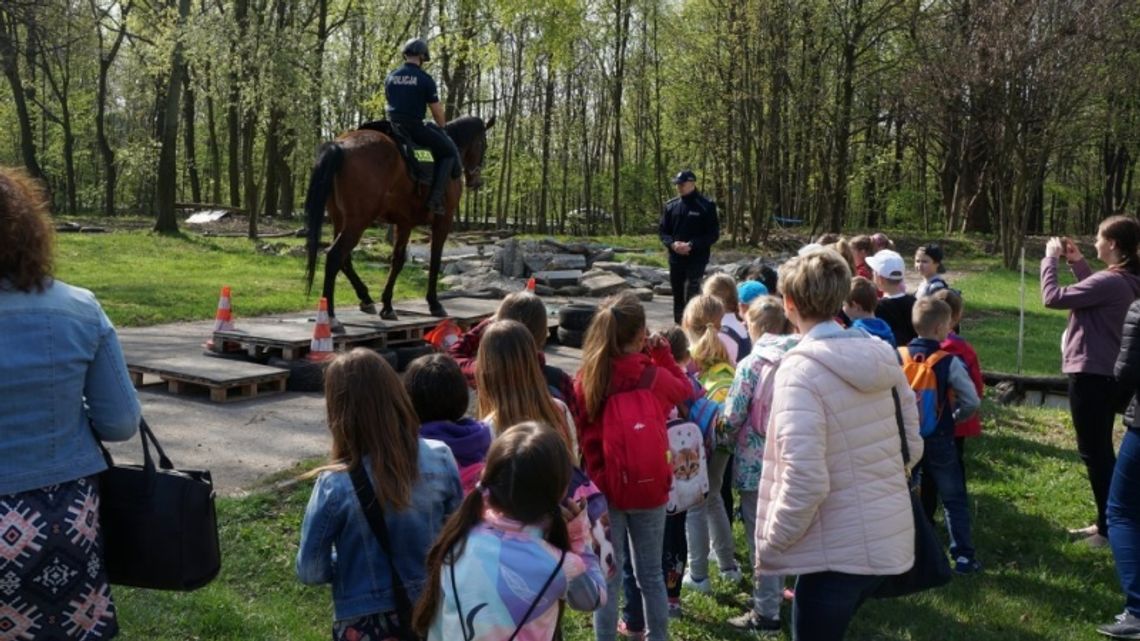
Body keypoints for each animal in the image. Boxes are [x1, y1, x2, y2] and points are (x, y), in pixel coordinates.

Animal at [303, 114, 494, 328]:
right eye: (484, 144)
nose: (476, 181)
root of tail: (341, 145)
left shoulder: (404, 223)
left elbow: (397, 260)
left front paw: (387, 305)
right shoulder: (443, 221)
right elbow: (435, 259)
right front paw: (434, 302)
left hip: (340, 219)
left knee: (344, 259)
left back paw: (365, 298)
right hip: (358, 221)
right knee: (334, 256)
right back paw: (330, 315)